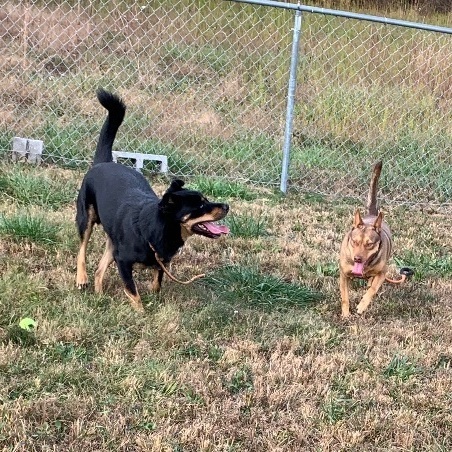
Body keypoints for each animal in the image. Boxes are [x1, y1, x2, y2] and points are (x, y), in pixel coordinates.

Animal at [77, 90, 230, 312]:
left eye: (206, 199)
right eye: (200, 204)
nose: (227, 206)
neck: (156, 229)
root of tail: (103, 162)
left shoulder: (161, 262)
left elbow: (157, 283)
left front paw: (153, 296)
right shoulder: (123, 261)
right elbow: (132, 291)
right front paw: (141, 313)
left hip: (112, 239)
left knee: (99, 269)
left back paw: (99, 296)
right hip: (85, 217)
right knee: (82, 249)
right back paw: (81, 278)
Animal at [338, 161, 394, 316]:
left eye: (369, 244)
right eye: (354, 242)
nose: (357, 259)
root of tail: (373, 214)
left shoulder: (383, 272)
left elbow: (373, 289)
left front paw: (361, 306)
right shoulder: (344, 275)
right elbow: (345, 296)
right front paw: (346, 314)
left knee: (371, 283)